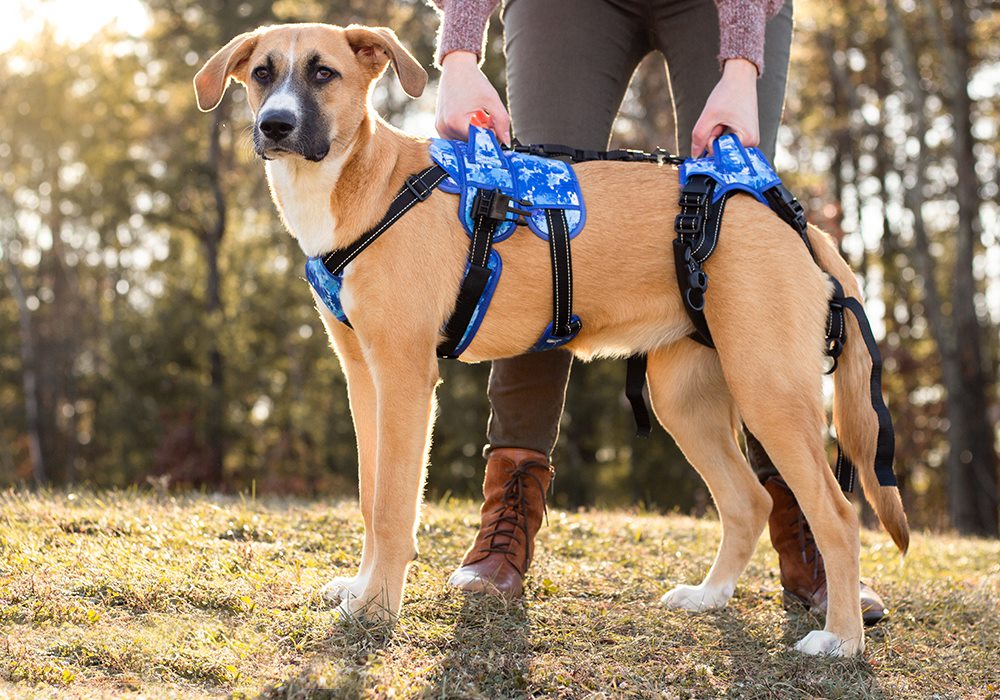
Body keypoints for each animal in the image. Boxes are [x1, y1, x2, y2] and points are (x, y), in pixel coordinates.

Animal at [193, 21, 908, 656]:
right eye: (263, 74)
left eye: (323, 73)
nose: (274, 126)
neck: (365, 183)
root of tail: (790, 217)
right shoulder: (362, 377)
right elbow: (371, 500)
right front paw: (364, 591)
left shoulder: (403, 378)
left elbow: (394, 507)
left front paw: (377, 610)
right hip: (687, 400)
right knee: (750, 499)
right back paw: (710, 597)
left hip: (768, 388)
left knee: (837, 515)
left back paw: (841, 640)